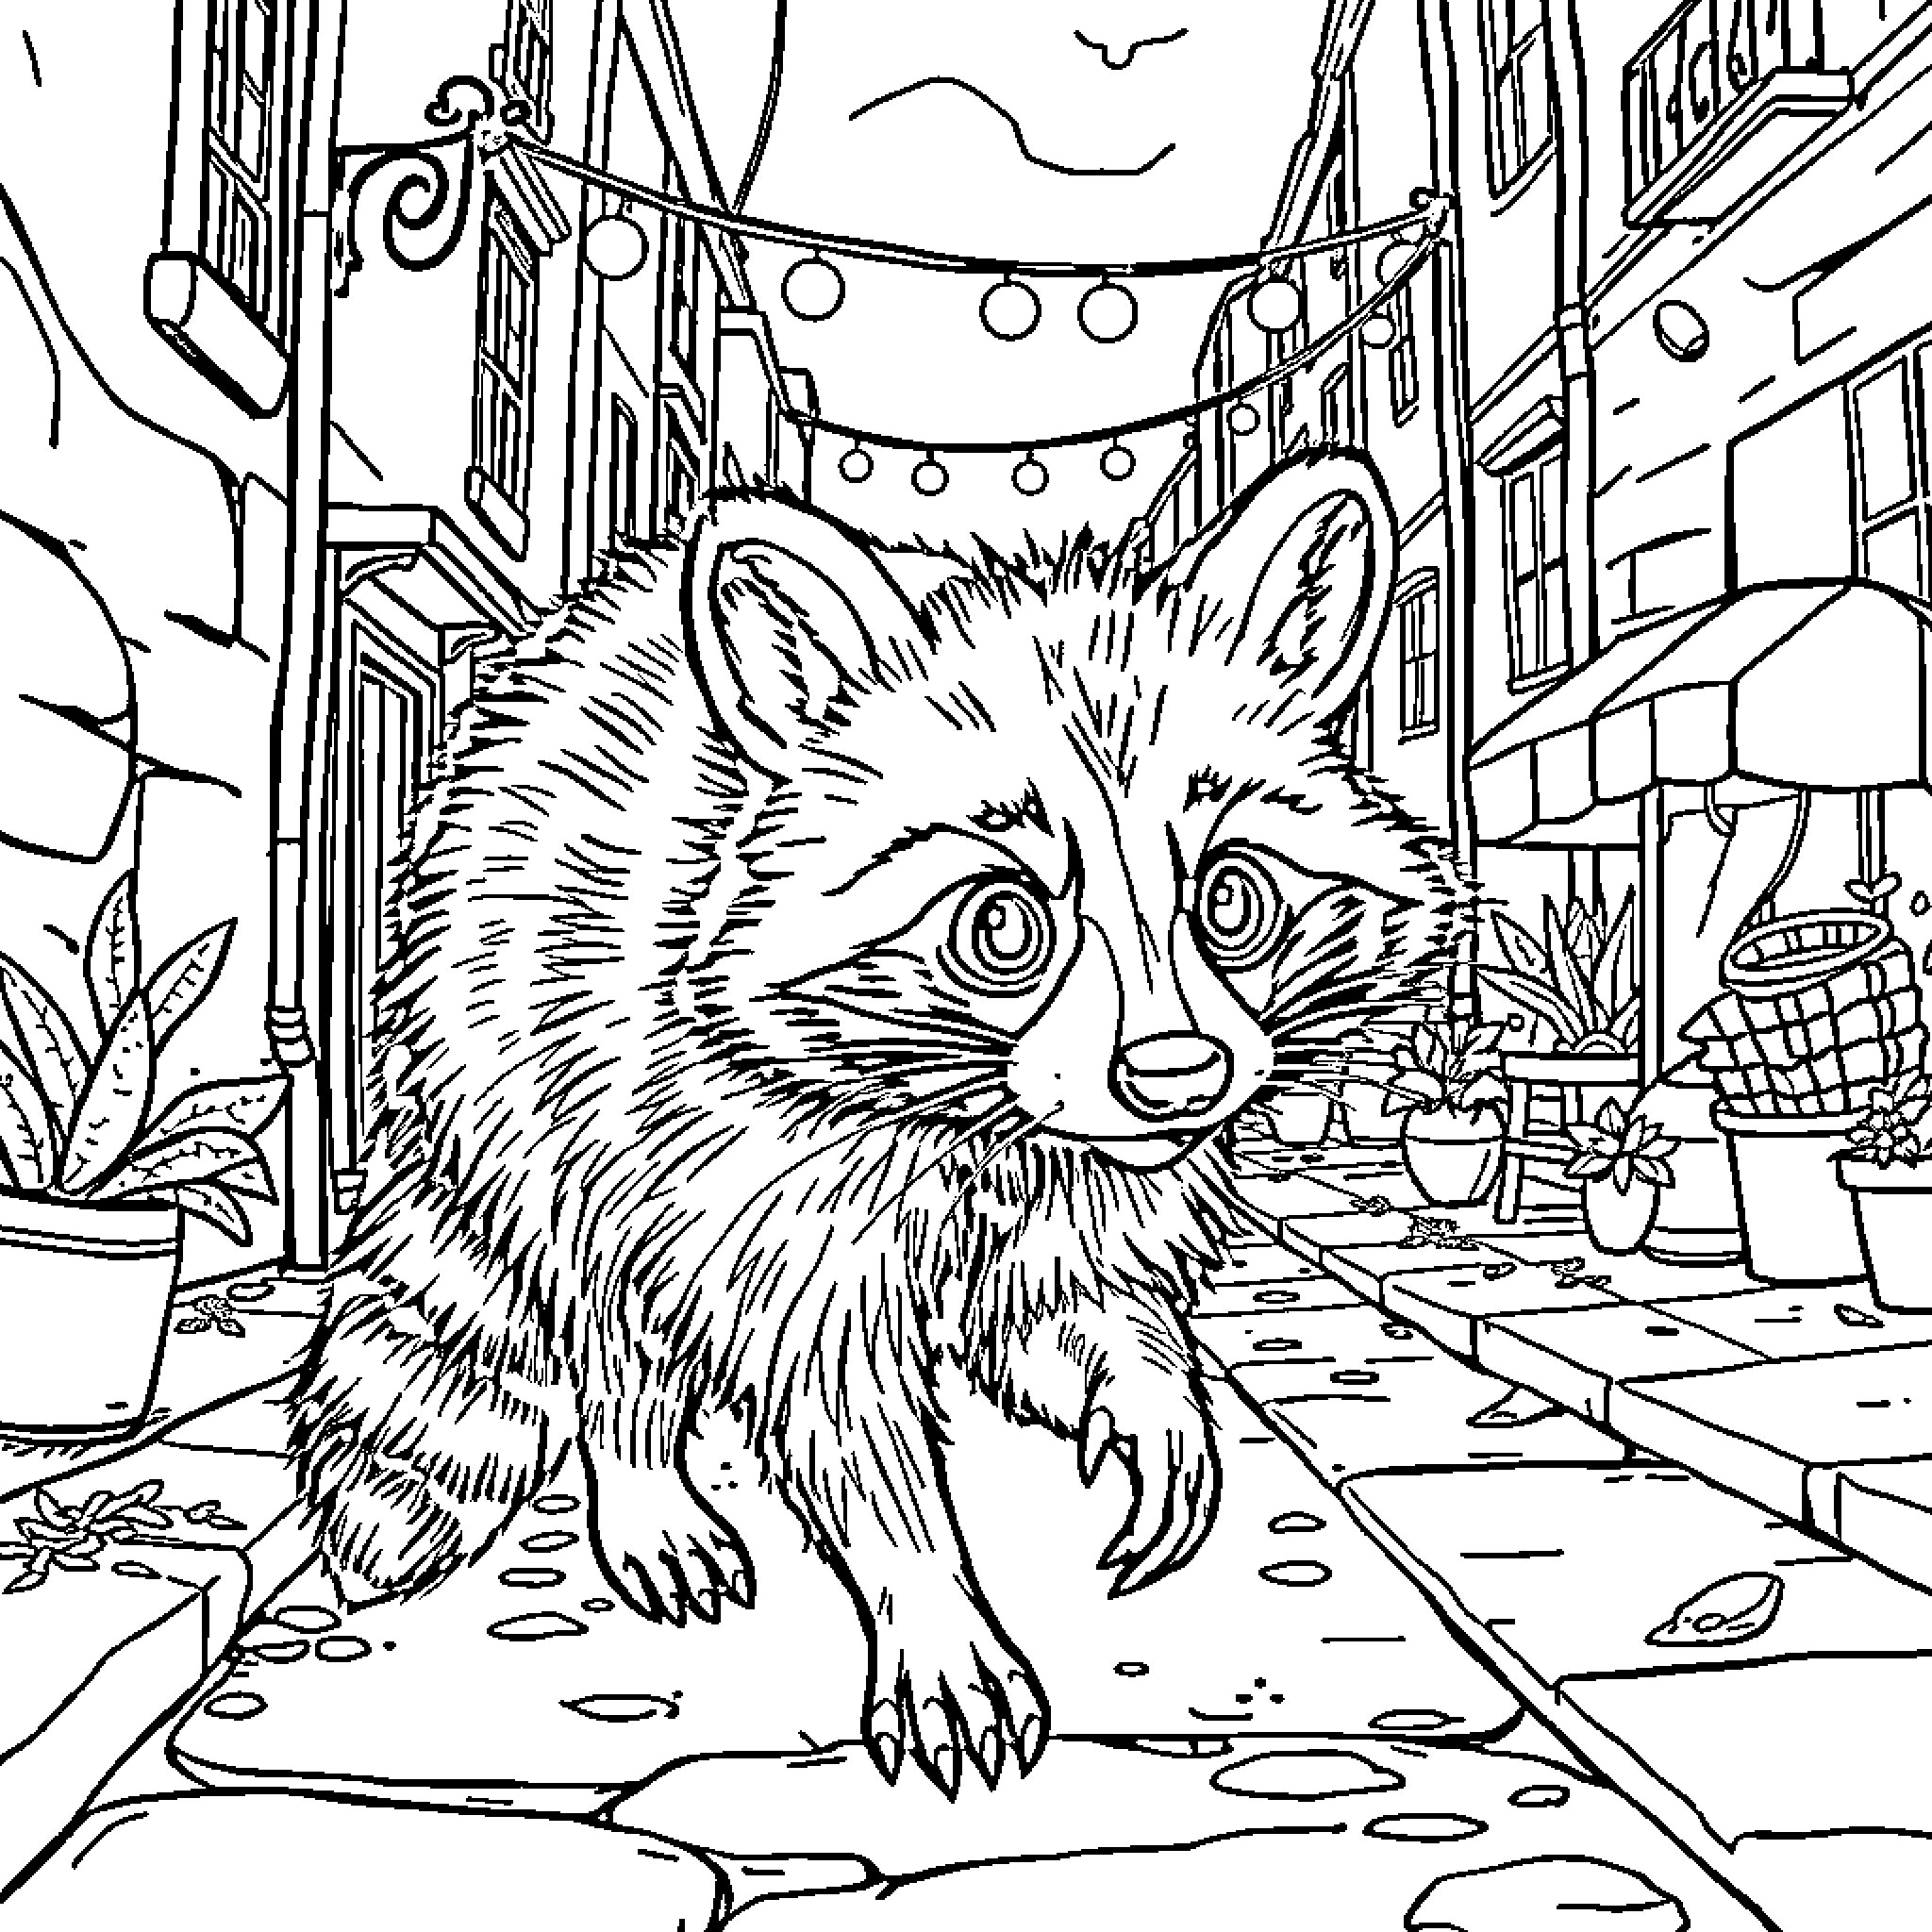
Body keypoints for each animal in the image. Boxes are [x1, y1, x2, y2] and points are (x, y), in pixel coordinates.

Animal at [289, 450, 1463, 1799]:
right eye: (1002, 926)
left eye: (1231, 899)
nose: (1174, 1076)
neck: (979, 1116)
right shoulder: (755, 1186)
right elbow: (844, 1420)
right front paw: (931, 1602)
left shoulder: (1071, 1196)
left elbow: (1067, 1313)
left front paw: (1155, 1393)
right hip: (557, 1094)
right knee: (610, 1312)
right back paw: (640, 1467)